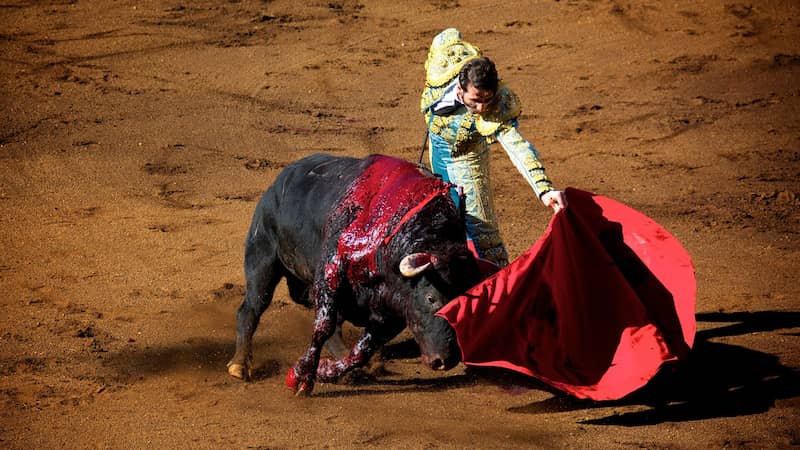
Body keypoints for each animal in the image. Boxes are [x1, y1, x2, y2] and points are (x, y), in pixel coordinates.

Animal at [228, 154, 484, 394]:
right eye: (431, 298)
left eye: (462, 305)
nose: (446, 360)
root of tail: (277, 184)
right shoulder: (330, 272)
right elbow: (323, 326)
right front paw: (301, 377)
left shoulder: (392, 313)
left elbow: (360, 351)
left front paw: (326, 371)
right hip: (262, 259)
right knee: (251, 308)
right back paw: (239, 365)